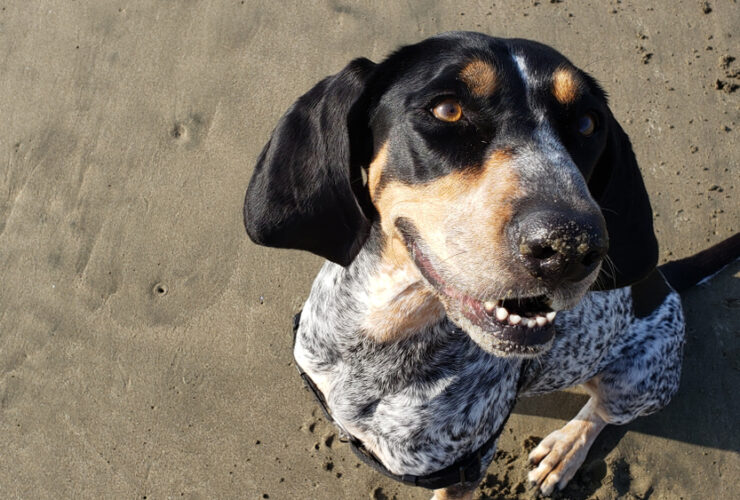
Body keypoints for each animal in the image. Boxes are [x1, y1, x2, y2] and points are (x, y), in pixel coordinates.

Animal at [244, 33, 740, 498]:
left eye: (587, 123)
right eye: (447, 109)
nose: (571, 245)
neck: (380, 337)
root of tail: (664, 280)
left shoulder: (463, 470)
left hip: (636, 384)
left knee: (601, 412)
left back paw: (565, 450)